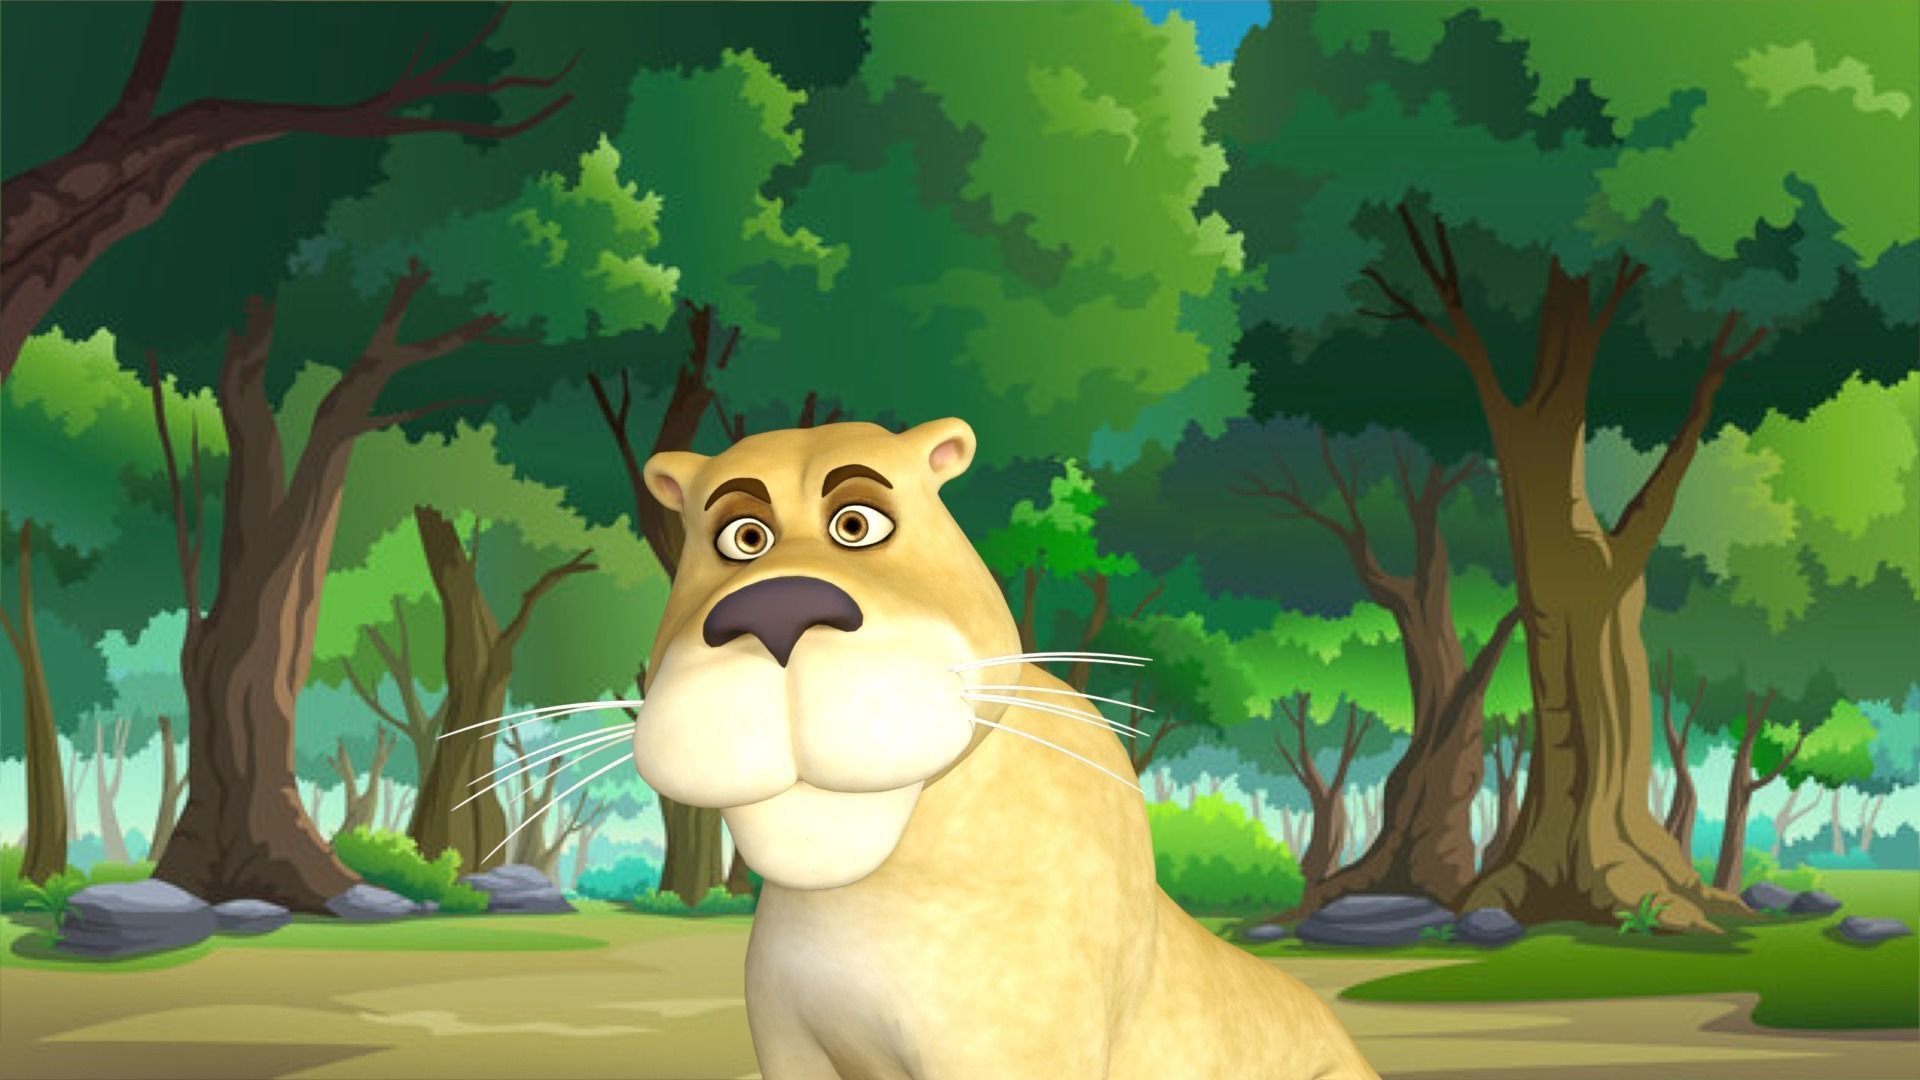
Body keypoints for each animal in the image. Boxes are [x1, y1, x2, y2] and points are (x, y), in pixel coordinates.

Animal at [633, 418, 1377, 1080]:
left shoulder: (1008, 1044)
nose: (776, 611)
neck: (855, 899)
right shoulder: (791, 1046)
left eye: (857, 523)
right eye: (743, 537)